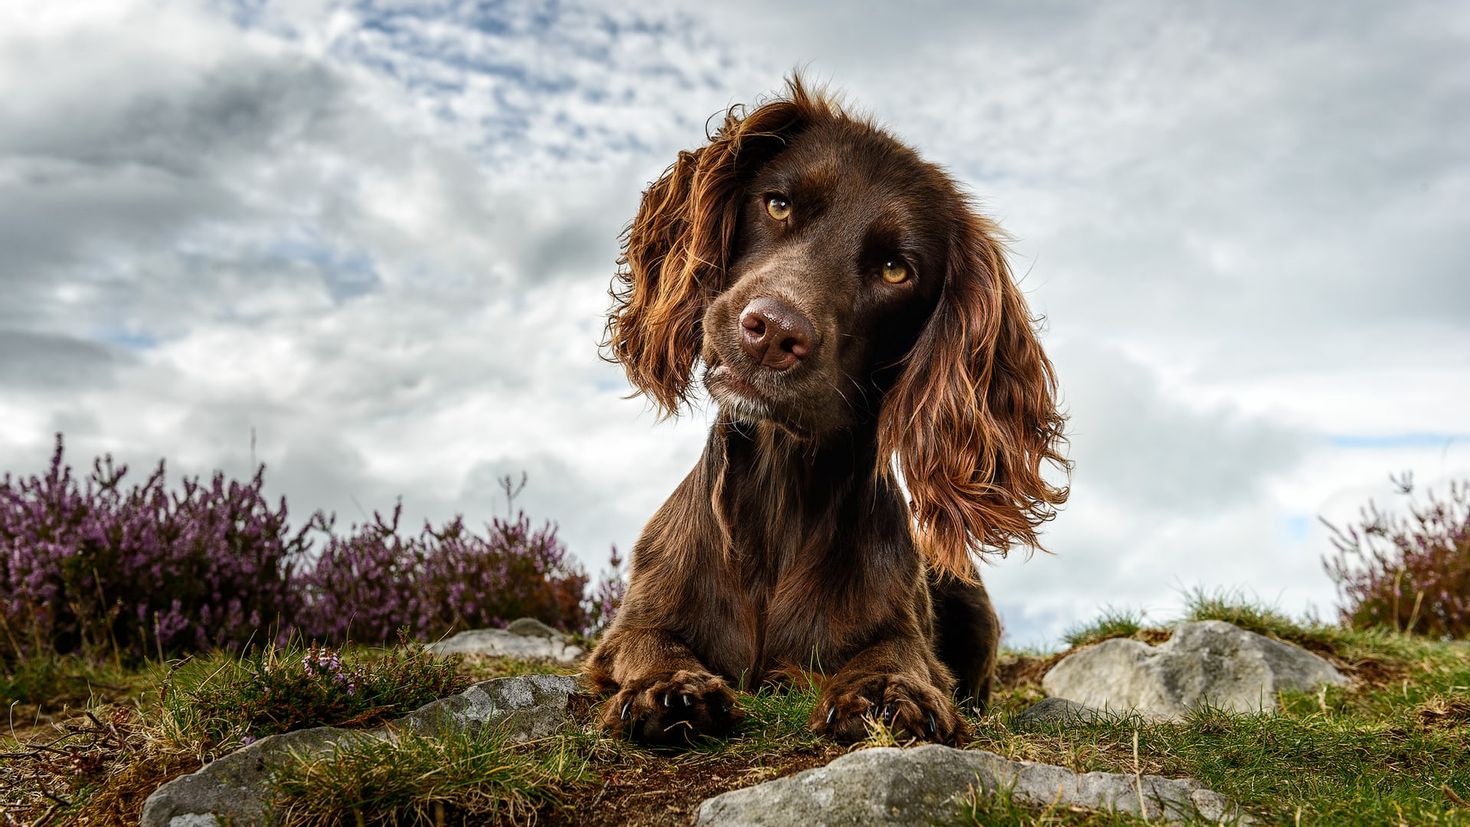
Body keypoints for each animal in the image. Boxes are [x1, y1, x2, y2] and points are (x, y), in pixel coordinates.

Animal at [585, 80, 1070, 746]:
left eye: (896, 268)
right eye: (778, 205)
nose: (772, 332)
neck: (779, 490)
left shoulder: (904, 630)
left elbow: (898, 655)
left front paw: (889, 693)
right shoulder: (630, 624)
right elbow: (647, 644)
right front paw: (671, 689)